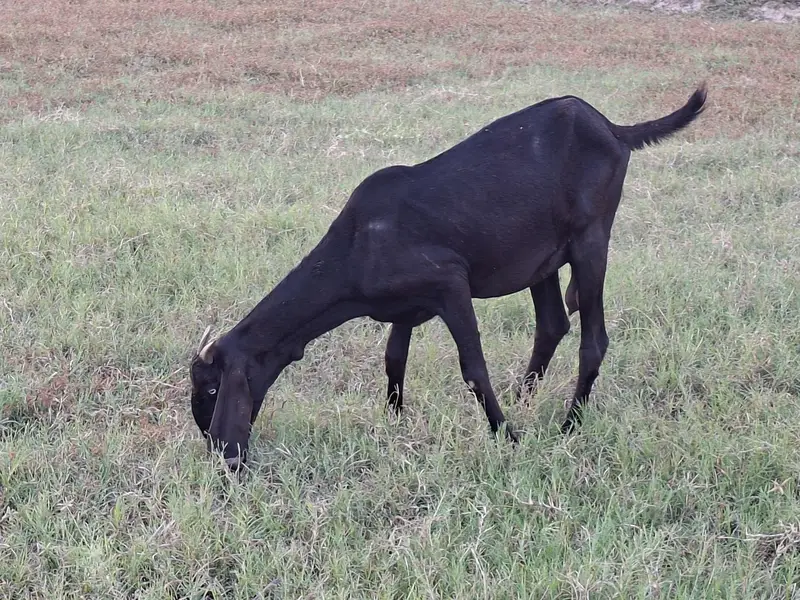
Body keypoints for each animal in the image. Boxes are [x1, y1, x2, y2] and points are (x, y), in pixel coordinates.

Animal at [190, 83, 707, 469]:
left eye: (213, 387)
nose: (221, 453)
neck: (357, 245)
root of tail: (612, 129)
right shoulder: (404, 305)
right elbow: (393, 359)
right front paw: (396, 420)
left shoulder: (450, 285)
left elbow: (473, 369)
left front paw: (506, 435)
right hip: (539, 255)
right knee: (552, 324)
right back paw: (525, 397)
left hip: (590, 240)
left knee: (592, 339)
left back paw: (568, 425)